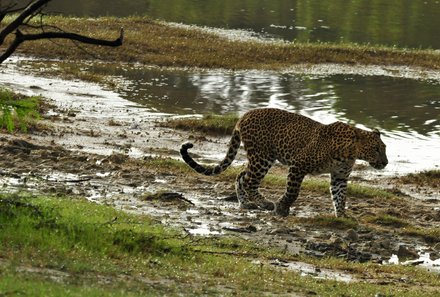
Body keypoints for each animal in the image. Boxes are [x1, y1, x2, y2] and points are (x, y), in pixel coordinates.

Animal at [180, 107, 386, 216]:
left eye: (384, 148)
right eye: (376, 149)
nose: (385, 163)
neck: (350, 152)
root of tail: (245, 115)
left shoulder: (339, 176)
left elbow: (340, 196)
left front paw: (342, 216)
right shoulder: (298, 165)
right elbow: (293, 192)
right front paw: (282, 207)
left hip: (260, 158)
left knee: (241, 176)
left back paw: (246, 203)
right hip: (262, 157)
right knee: (249, 181)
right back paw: (265, 203)